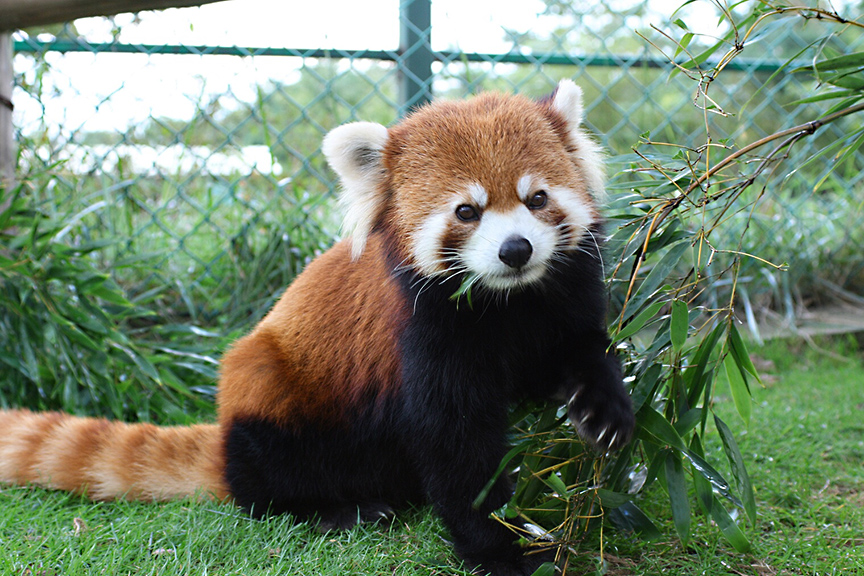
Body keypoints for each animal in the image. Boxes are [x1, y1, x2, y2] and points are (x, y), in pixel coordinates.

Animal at [0, 81, 636, 576]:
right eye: (466, 211)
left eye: (537, 198)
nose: (515, 249)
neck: (506, 302)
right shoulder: (425, 332)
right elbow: (456, 445)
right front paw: (503, 551)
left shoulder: (563, 297)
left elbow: (584, 352)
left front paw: (604, 412)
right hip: (277, 397)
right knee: (270, 479)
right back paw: (338, 510)